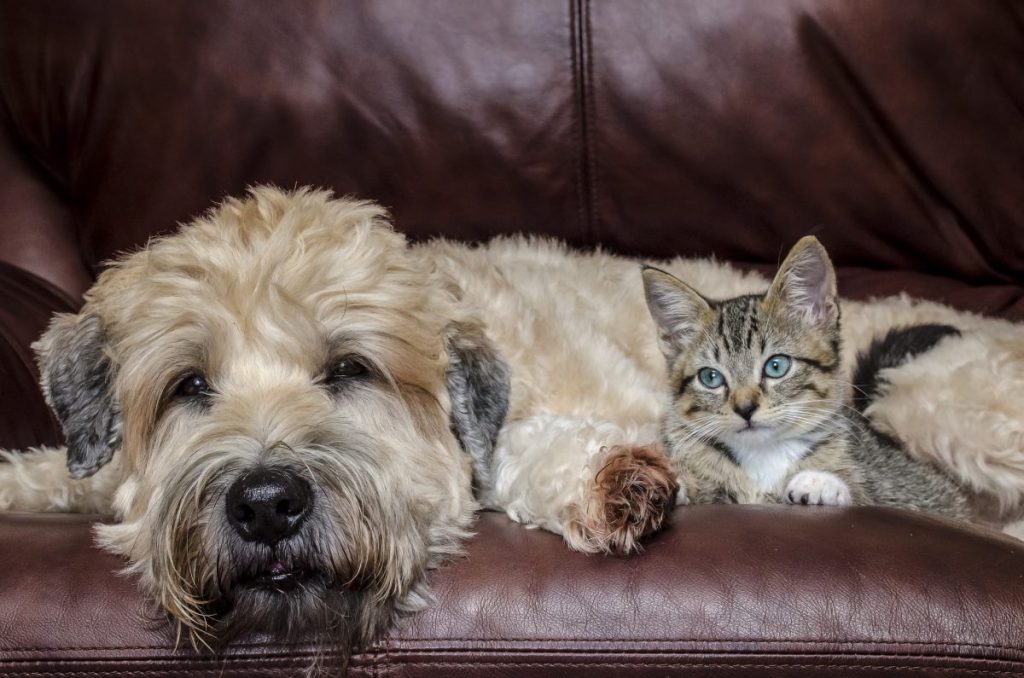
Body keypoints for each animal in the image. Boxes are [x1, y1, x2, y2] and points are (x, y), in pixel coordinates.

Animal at [638, 235, 966, 520]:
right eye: (710, 377)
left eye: (776, 366)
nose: (745, 408)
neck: (763, 457)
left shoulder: (891, 491)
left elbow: (865, 496)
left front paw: (822, 483)